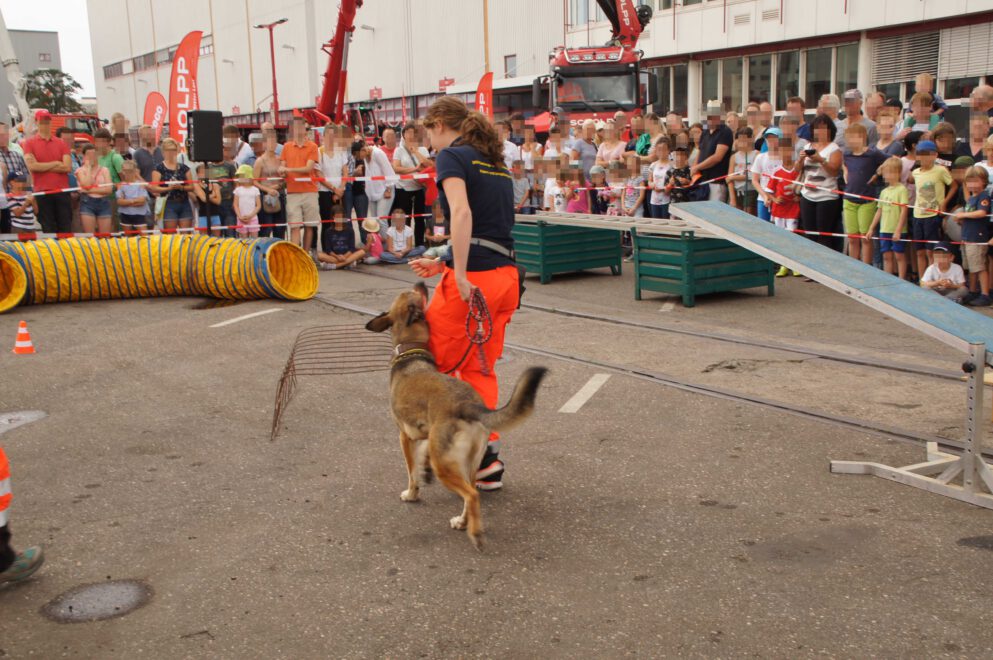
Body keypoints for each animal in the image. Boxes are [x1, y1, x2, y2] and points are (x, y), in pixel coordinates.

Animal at [366, 282, 548, 548]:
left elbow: (411, 472)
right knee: (470, 492)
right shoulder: (426, 436)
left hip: (447, 466)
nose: (421, 283)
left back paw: (475, 533)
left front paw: (411, 493)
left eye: (411, 293)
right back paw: (463, 522)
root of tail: (468, 405)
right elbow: (423, 456)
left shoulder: (405, 437)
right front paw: (424, 470)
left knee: (471, 495)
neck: (412, 350)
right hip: (468, 462)